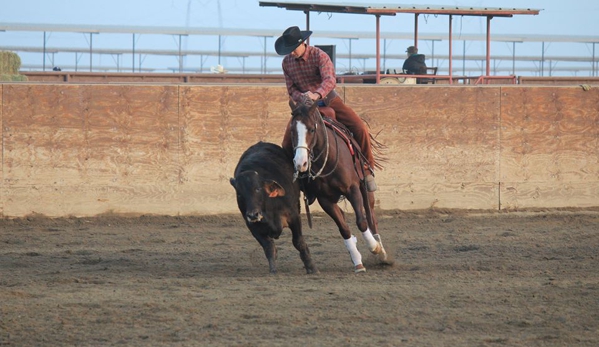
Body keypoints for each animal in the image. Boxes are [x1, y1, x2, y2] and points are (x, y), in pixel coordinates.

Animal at [229, 142, 318, 274]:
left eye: (258, 189)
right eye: (239, 194)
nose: (253, 215)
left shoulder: (294, 217)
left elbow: (298, 242)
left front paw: (311, 267)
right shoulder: (252, 226)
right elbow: (268, 246)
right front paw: (273, 268)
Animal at [288, 100, 392, 274]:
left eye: (311, 129)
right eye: (292, 131)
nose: (300, 163)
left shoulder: (353, 189)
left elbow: (361, 221)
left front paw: (374, 248)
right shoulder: (325, 200)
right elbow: (343, 228)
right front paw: (357, 261)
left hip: (366, 189)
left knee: (371, 217)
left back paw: (382, 253)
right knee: (344, 216)